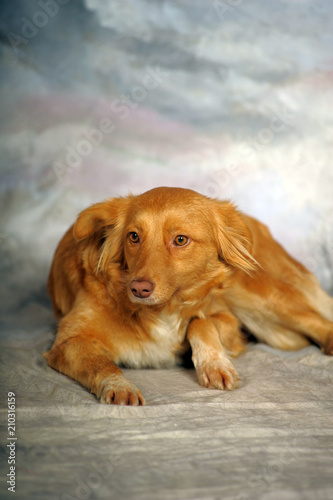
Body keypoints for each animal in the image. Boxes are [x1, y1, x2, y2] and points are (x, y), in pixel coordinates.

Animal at [44, 186, 332, 404]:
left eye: (180, 240)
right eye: (133, 237)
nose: (138, 289)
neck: (163, 310)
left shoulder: (230, 323)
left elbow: (200, 322)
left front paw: (215, 365)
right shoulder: (68, 342)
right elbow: (101, 364)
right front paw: (120, 387)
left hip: (252, 295)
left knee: (314, 318)